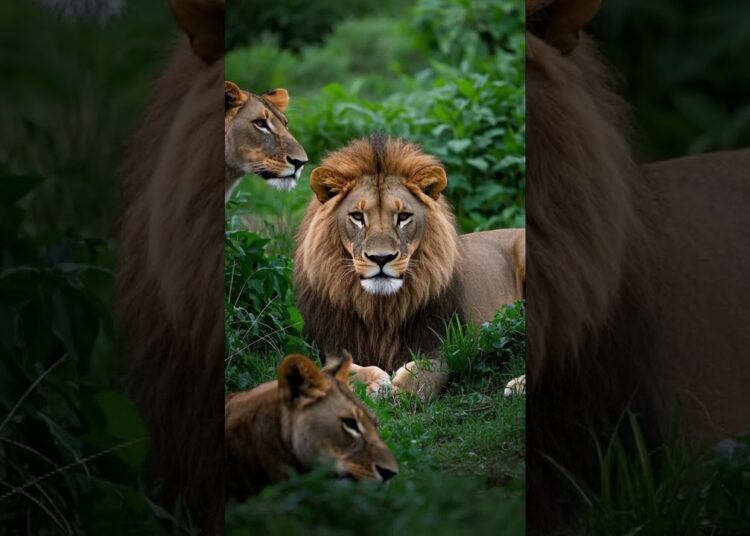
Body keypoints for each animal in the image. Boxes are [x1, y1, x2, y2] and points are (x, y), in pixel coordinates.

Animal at [294, 135, 525, 400]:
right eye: (357, 216)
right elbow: (334, 369)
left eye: (403, 216)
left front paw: (403, 388)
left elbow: (433, 367)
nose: (381, 258)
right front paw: (374, 381)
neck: (379, 309)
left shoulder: (446, 342)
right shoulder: (325, 344)